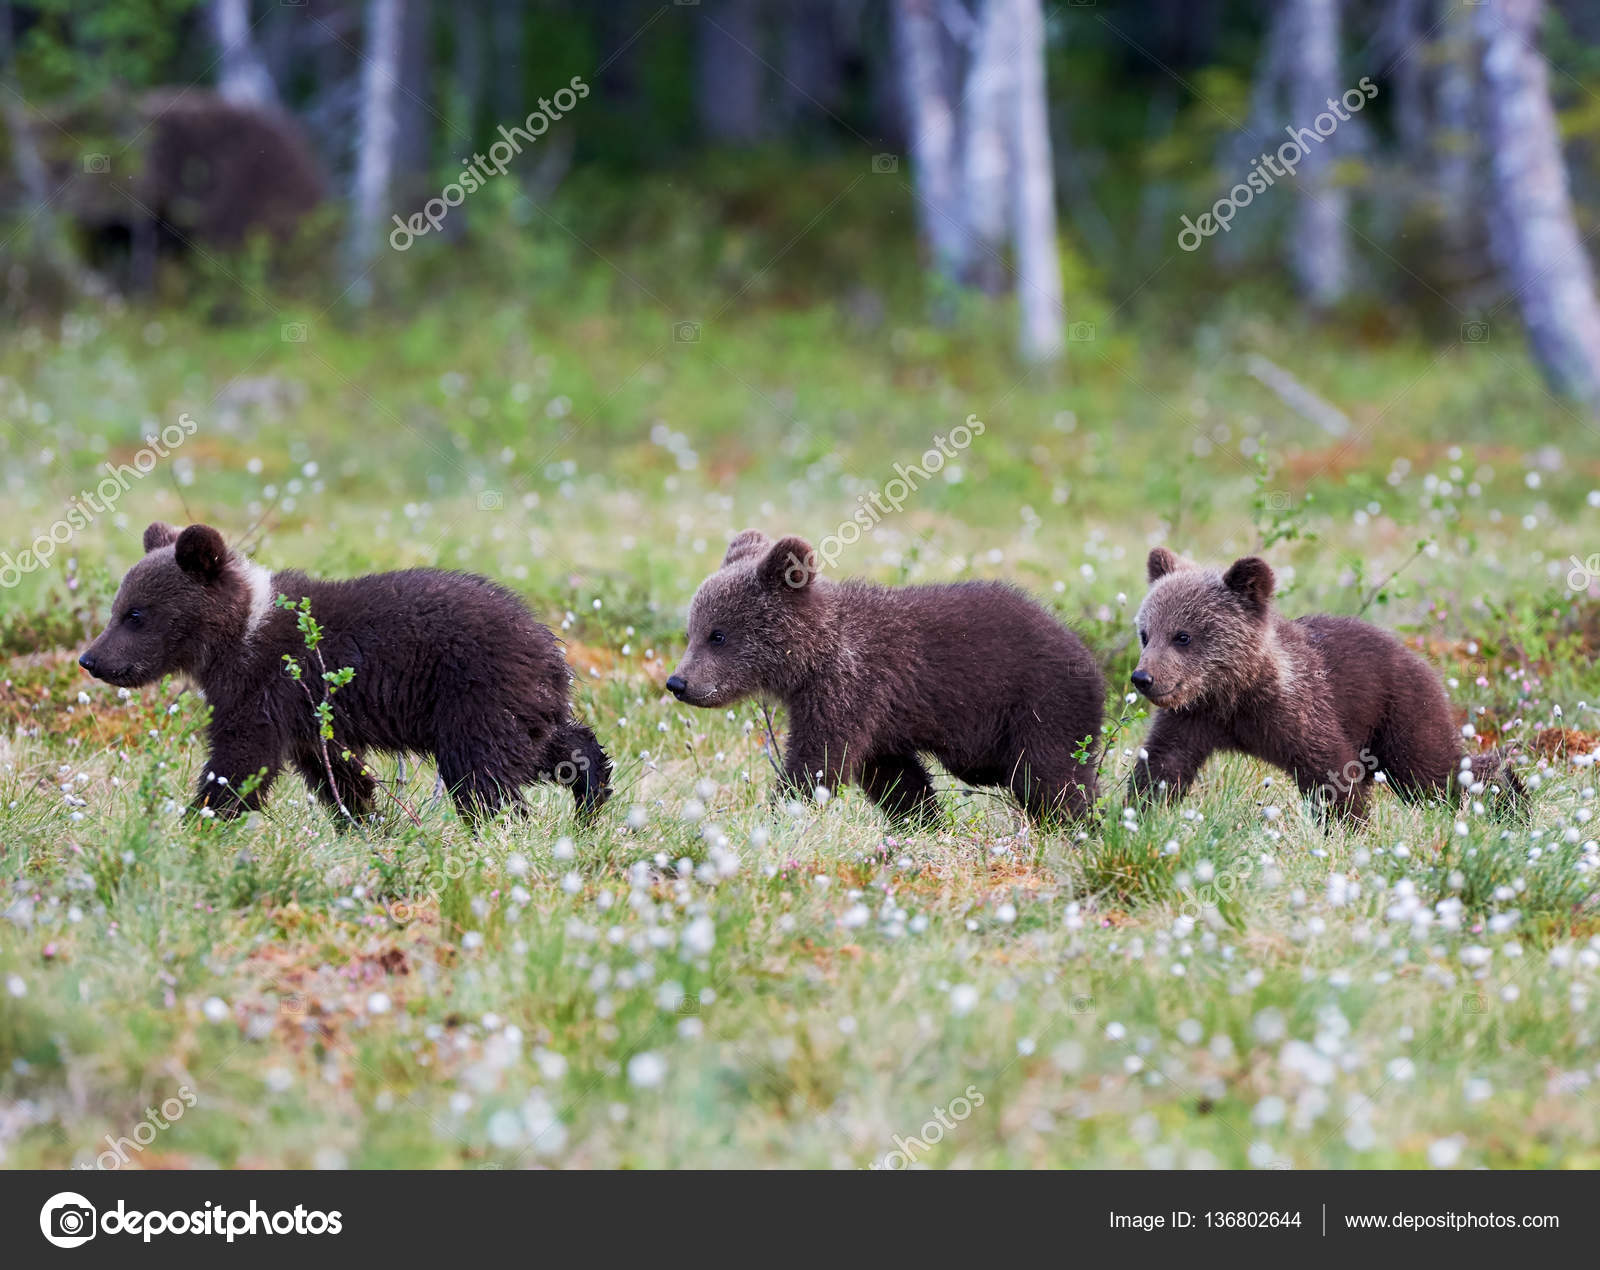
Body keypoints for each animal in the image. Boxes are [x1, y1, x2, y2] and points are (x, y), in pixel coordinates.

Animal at [78, 523, 611, 822]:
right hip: (520, 705)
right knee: (551, 746)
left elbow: (242, 759)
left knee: (483, 775)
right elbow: (332, 765)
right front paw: (364, 815)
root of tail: (548, 645)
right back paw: (591, 796)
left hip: (474, 695)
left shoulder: (264, 687)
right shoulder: (305, 713)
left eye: (135, 614)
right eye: (118, 608)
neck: (239, 632)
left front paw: (199, 820)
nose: (91, 659)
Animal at [664, 530, 1105, 824]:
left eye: (717, 634)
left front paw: (779, 813)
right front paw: (924, 821)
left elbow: (819, 761)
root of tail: (1088, 655)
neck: (813, 660)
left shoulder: (850, 688)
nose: (678, 683)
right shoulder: (879, 721)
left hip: (1040, 706)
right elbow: (894, 777)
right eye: (691, 631)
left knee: (1051, 777)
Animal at [1126, 547, 1524, 822]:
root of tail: (1420, 658)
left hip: (1401, 711)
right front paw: (1134, 815)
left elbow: (1331, 770)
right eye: (1145, 634)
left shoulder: (1301, 710)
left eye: (1182, 636)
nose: (1143, 678)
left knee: (1434, 771)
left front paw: (1347, 826)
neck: (1236, 693)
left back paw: (1512, 798)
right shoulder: (1193, 717)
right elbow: (1163, 764)